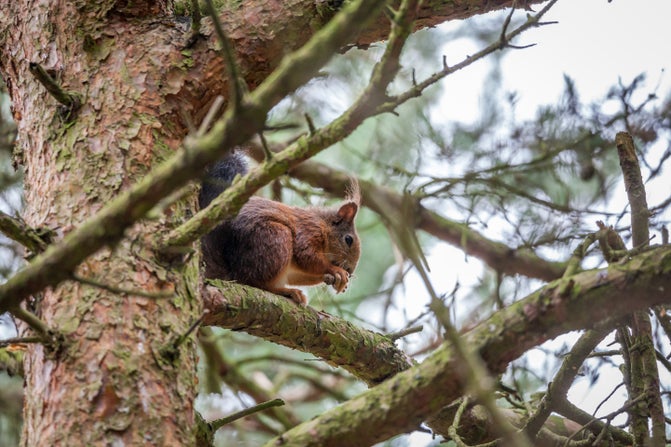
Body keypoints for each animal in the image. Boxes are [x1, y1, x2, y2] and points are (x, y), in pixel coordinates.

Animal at [199, 151, 361, 306]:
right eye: (348, 239)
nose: (350, 271)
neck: (323, 224)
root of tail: (231, 273)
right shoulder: (309, 230)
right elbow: (307, 256)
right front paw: (336, 271)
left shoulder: (293, 270)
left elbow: (298, 274)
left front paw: (333, 279)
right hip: (276, 238)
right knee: (254, 283)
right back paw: (287, 291)